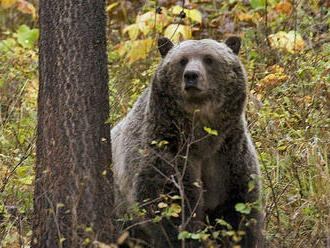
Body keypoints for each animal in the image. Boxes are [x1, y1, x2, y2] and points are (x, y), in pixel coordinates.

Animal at [112, 35, 264, 247]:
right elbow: (171, 208)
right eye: (182, 60)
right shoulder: (167, 150)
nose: (191, 75)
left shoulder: (229, 155)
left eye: (209, 59)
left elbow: (239, 210)